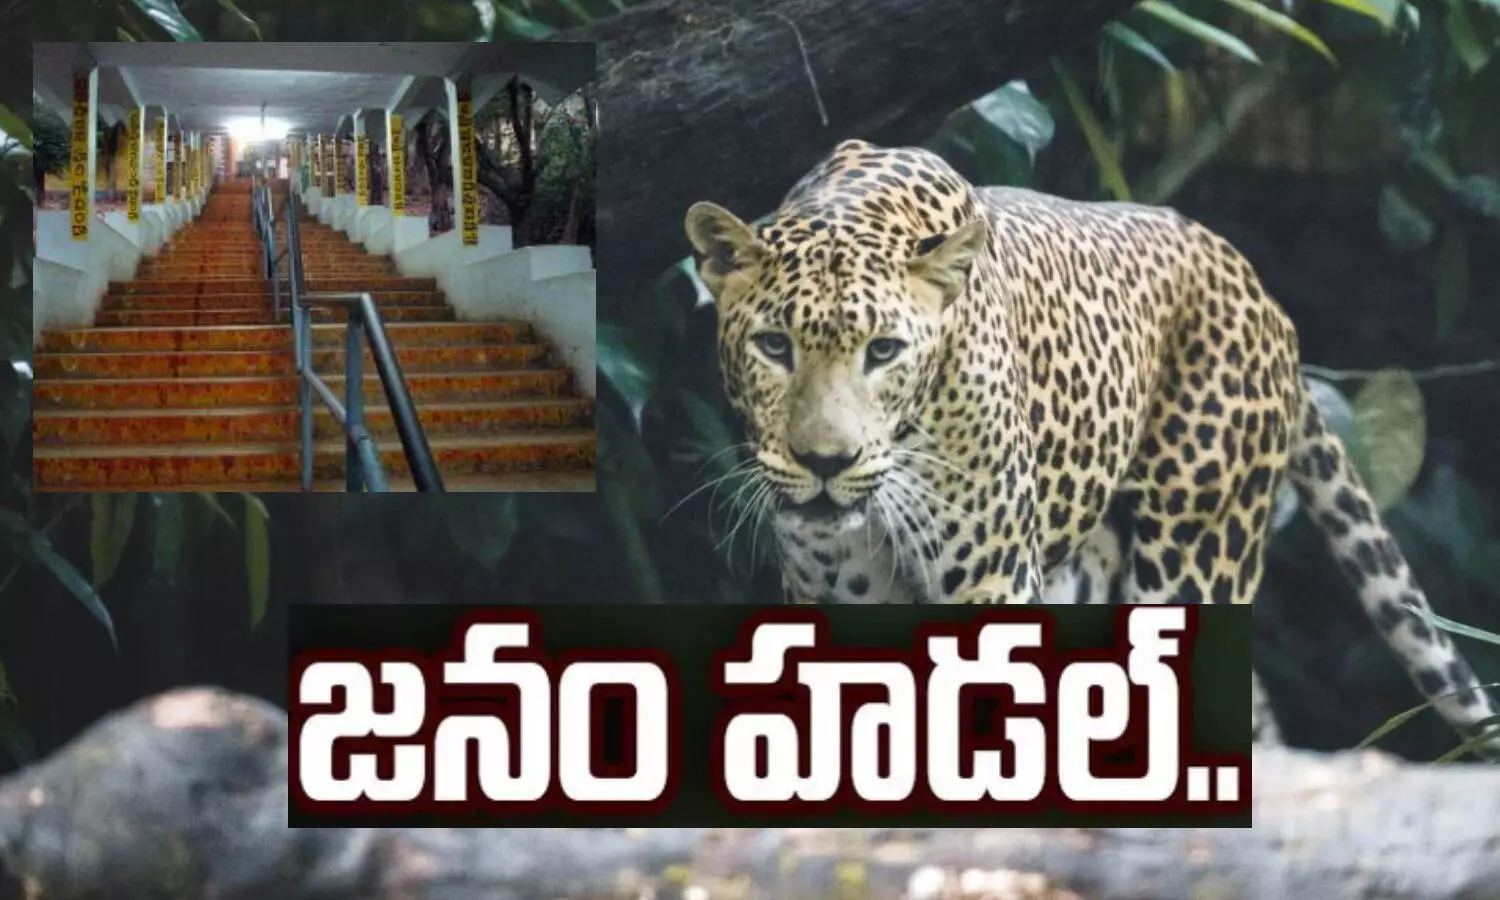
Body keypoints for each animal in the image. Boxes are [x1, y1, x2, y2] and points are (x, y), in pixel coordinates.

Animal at [683, 138, 1499, 754]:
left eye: (883, 351)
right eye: (774, 346)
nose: (826, 463)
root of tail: (1263, 295)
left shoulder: (989, 585)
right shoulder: (833, 598)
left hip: (1196, 562)